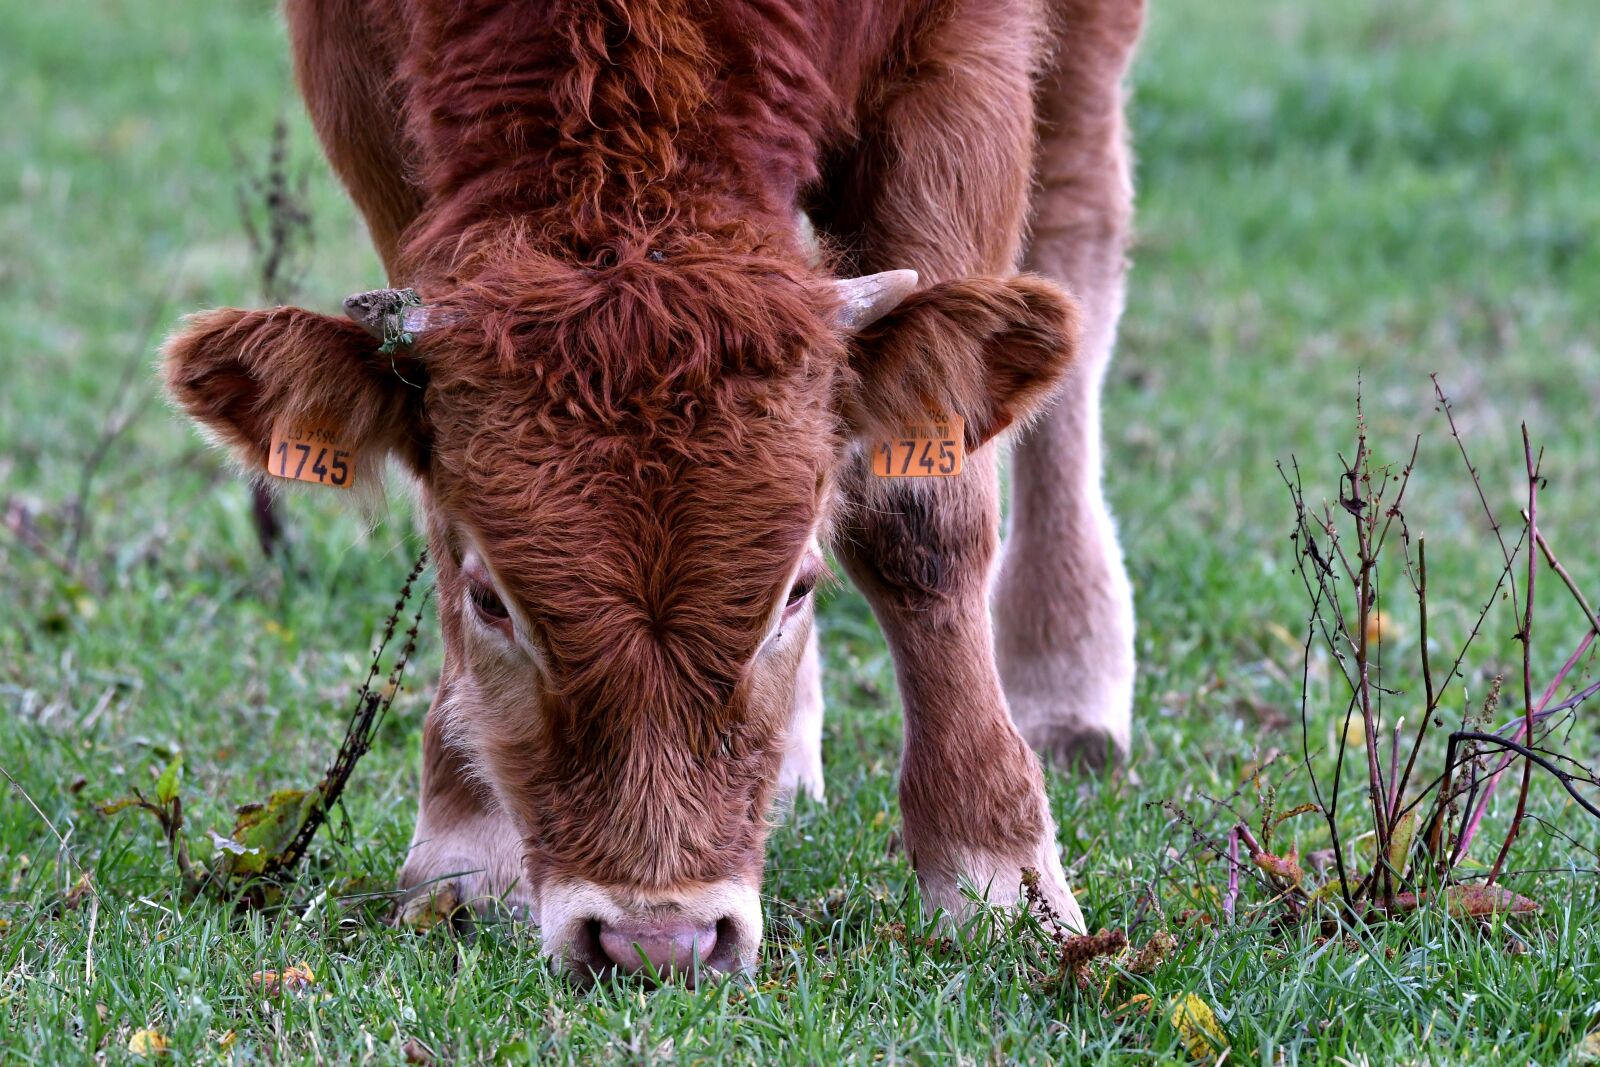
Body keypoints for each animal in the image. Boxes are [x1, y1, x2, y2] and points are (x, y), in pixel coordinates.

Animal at [161, 0, 1142, 982]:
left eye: (798, 589)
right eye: (491, 602)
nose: (658, 940)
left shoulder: (958, 62)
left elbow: (921, 514)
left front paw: (995, 870)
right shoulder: (361, 84)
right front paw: (464, 843)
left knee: (1076, 243)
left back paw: (1067, 682)